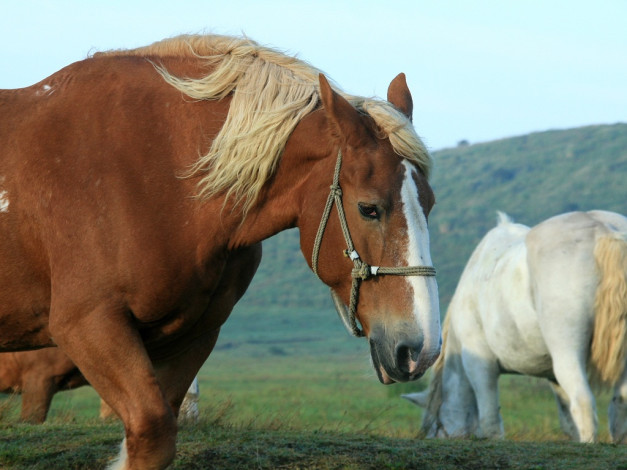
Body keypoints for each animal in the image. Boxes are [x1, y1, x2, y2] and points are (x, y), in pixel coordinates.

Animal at [0, 35, 442, 468]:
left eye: (431, 203)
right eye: (369, 208)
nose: (420, 350)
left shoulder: (190, 336)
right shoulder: (88, 325)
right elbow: (151, 432)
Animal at [402, 211, 627, 442]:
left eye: (436, 426)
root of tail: (604, 230)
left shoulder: (480, 366)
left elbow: (490, 421)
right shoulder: (553, 378)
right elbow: (568, 422)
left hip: (568, 354)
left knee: (583, 402)